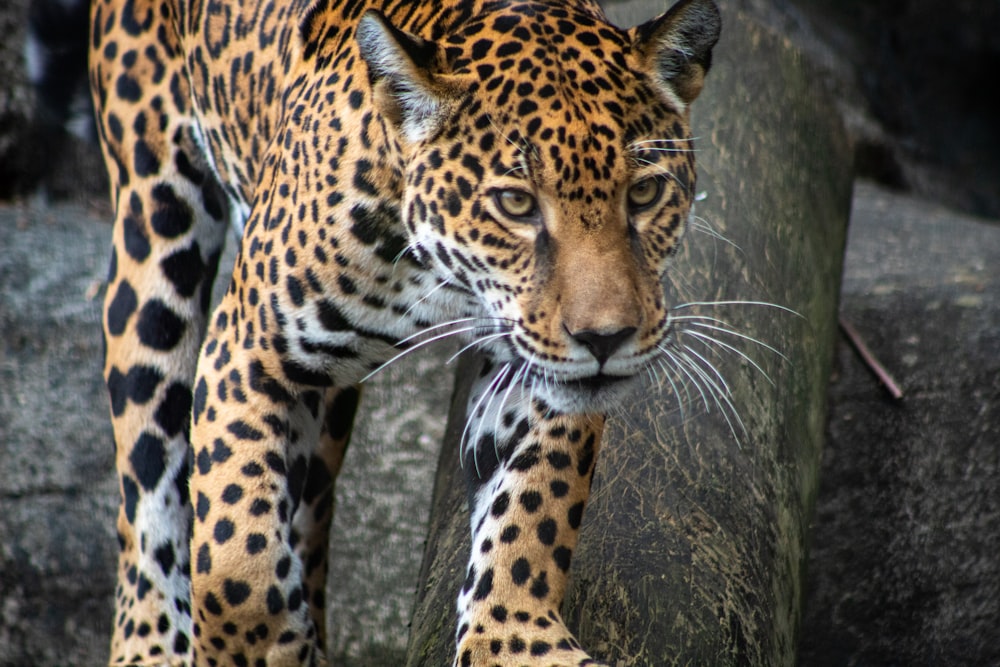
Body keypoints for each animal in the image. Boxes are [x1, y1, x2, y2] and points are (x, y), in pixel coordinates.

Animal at [90, 0, 720, 664]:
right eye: (516, 204)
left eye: (645, 192)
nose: (605, 339)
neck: (440, 277)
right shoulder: (247, 349)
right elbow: (234, 555)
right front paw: (262, 646)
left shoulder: (533, 373)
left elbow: (535, 503)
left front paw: (514, 638)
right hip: (152, 218)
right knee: (146, 481)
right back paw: (150, 642)